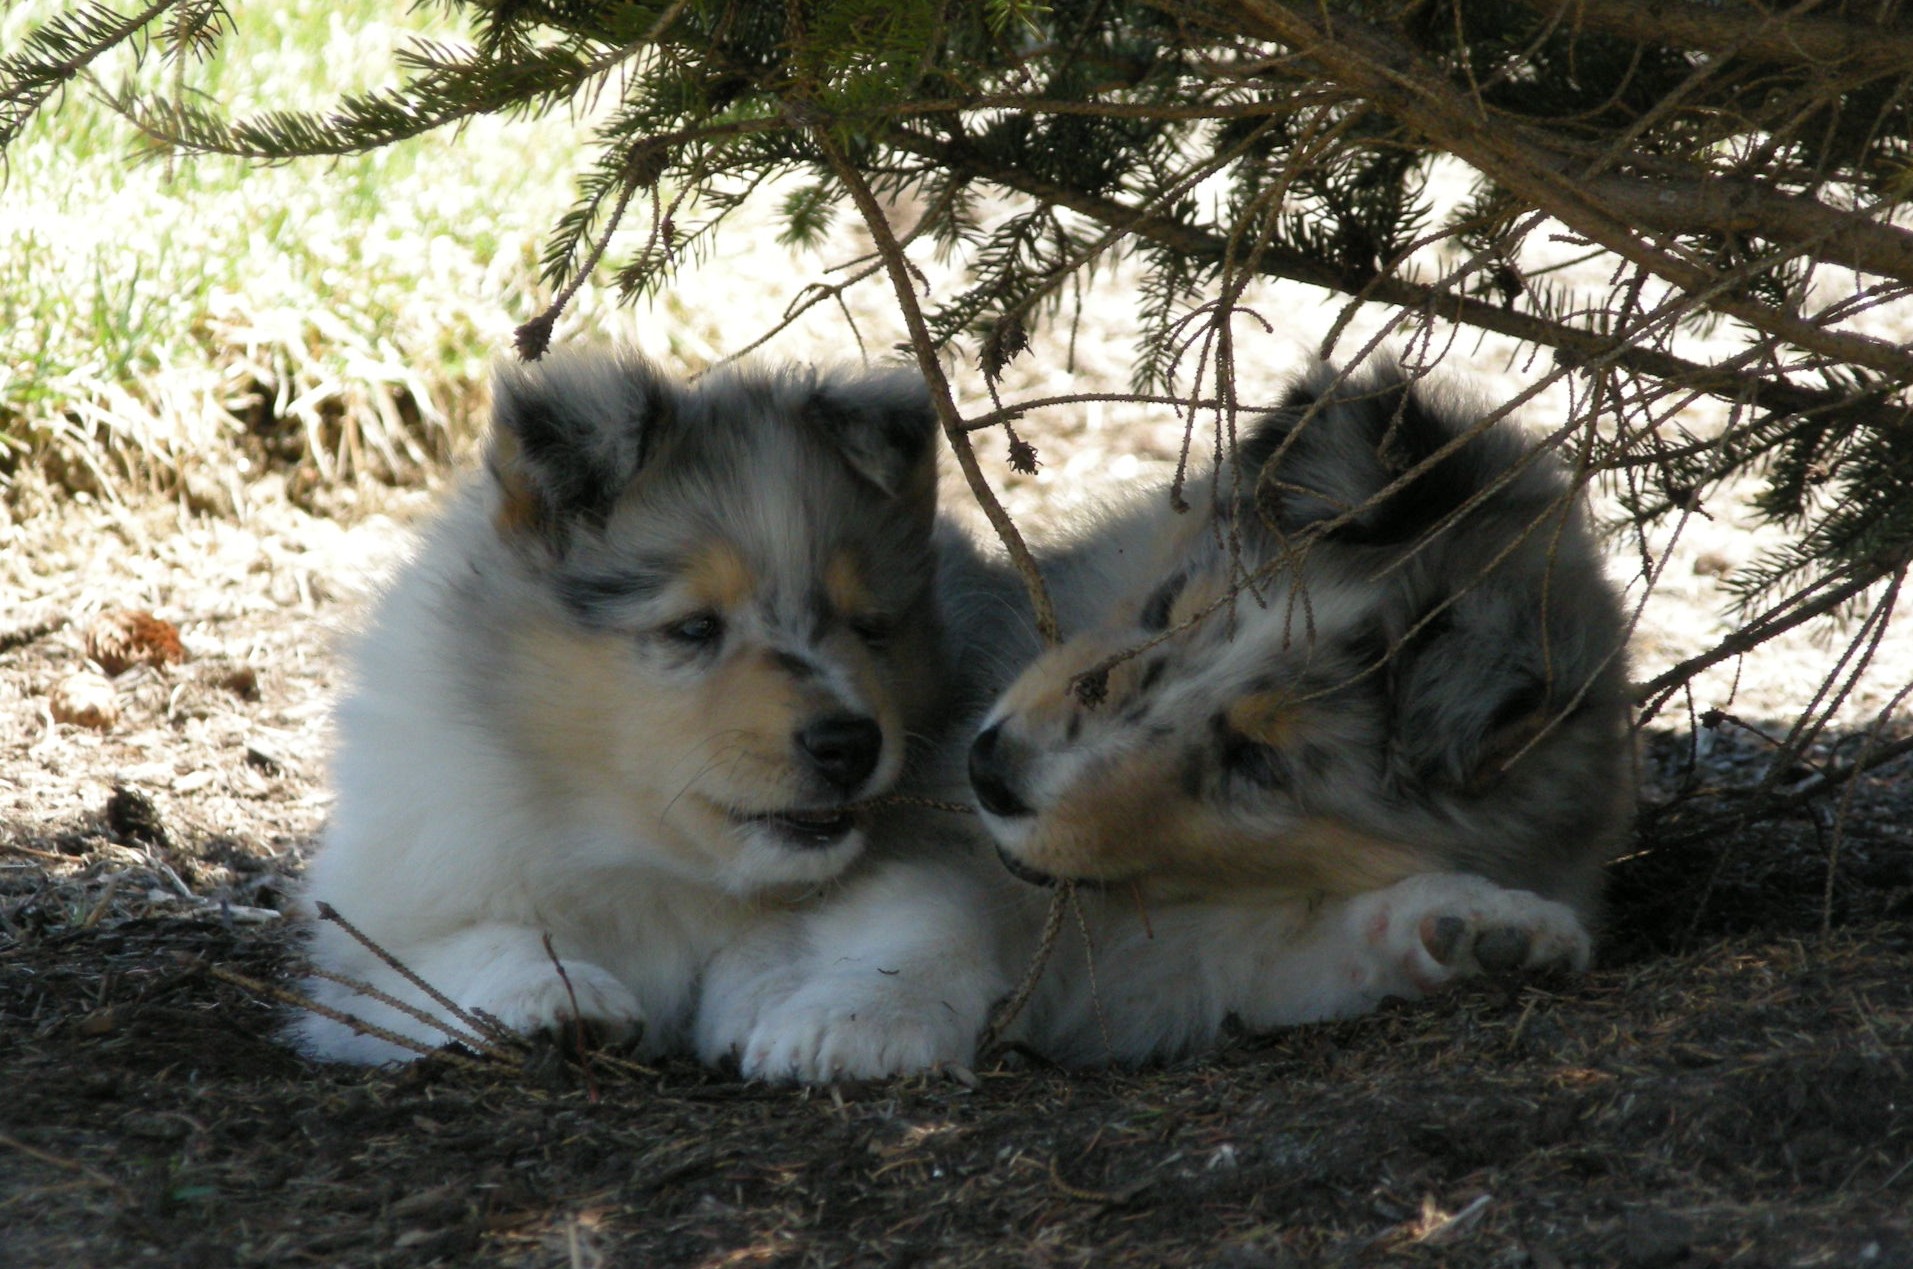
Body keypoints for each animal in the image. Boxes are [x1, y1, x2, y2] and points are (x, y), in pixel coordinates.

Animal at [711, 365, 1637, 1079]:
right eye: (1163, 610)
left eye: (1254, 759)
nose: (992, 771)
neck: (1139, 895)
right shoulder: (919, 819)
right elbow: (924, 907)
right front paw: (861, 1020)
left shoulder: (1175, 968)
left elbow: (1292, 952)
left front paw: (1485, 929)